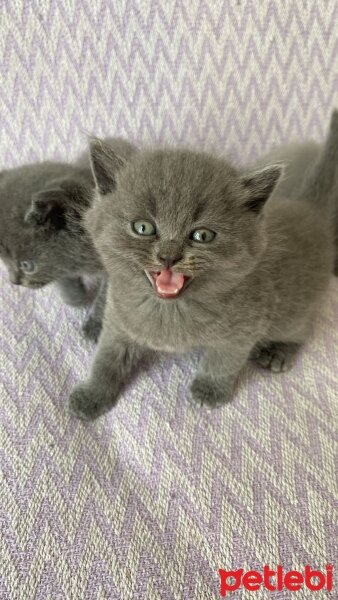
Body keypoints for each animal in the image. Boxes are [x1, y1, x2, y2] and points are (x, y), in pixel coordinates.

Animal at [0, 138, 137, 340]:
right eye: (4, 261)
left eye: (27, 265)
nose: (14, 281)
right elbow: (64, 278)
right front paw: (77, 298)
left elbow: (106, 297)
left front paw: (95, 327)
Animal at [68, 113, 338, 422]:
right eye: (143, 227)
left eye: (202, 235)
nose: (169, 256)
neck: (169, 310)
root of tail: (308, 209)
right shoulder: (119, 318)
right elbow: (107, 358)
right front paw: (91, 395)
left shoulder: (246, 327)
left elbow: (223, 360)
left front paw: (209, 391)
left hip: (292, 313)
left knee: (302, 329)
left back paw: (279, 352)